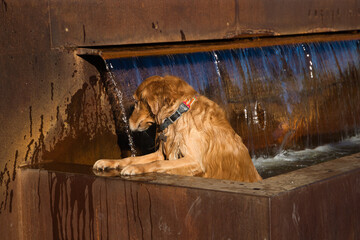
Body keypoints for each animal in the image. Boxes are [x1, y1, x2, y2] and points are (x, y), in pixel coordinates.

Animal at [93, 75, 262, 182]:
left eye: (136, 102)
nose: (127, 123)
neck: (178, 114)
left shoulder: (195, 161)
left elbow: (157, 164)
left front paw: (134, 168)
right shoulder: (161, 153)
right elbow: (131, 158)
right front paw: (108, 162)